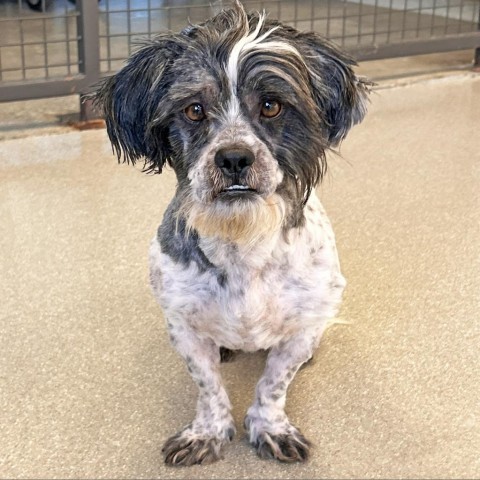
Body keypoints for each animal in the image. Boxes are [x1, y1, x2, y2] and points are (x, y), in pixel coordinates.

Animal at [94, 0, 372, 464]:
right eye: (193, 109)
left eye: (272, 106)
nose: (235, 157)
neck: (243, 241)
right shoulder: (184, 328)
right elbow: (208, 386)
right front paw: (207, 432)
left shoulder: (301, 328)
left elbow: (274, 384)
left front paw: (269, 427)